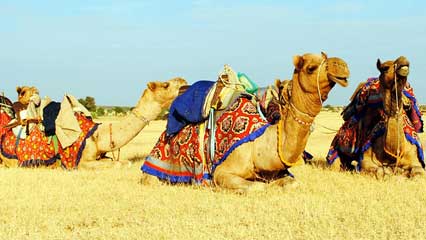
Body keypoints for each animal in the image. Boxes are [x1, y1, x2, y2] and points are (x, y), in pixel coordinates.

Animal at [0, 78, 186, 168]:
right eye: (166, 84)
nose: (183, 81)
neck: (98, 136)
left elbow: (122, 162)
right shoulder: (81, 162)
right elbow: (117, 164)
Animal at [142, 52, 350, 191]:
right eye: (311, 68)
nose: (342, 65)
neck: (260, 145)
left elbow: (293, 182)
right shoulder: (222, 172)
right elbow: (257, 187)